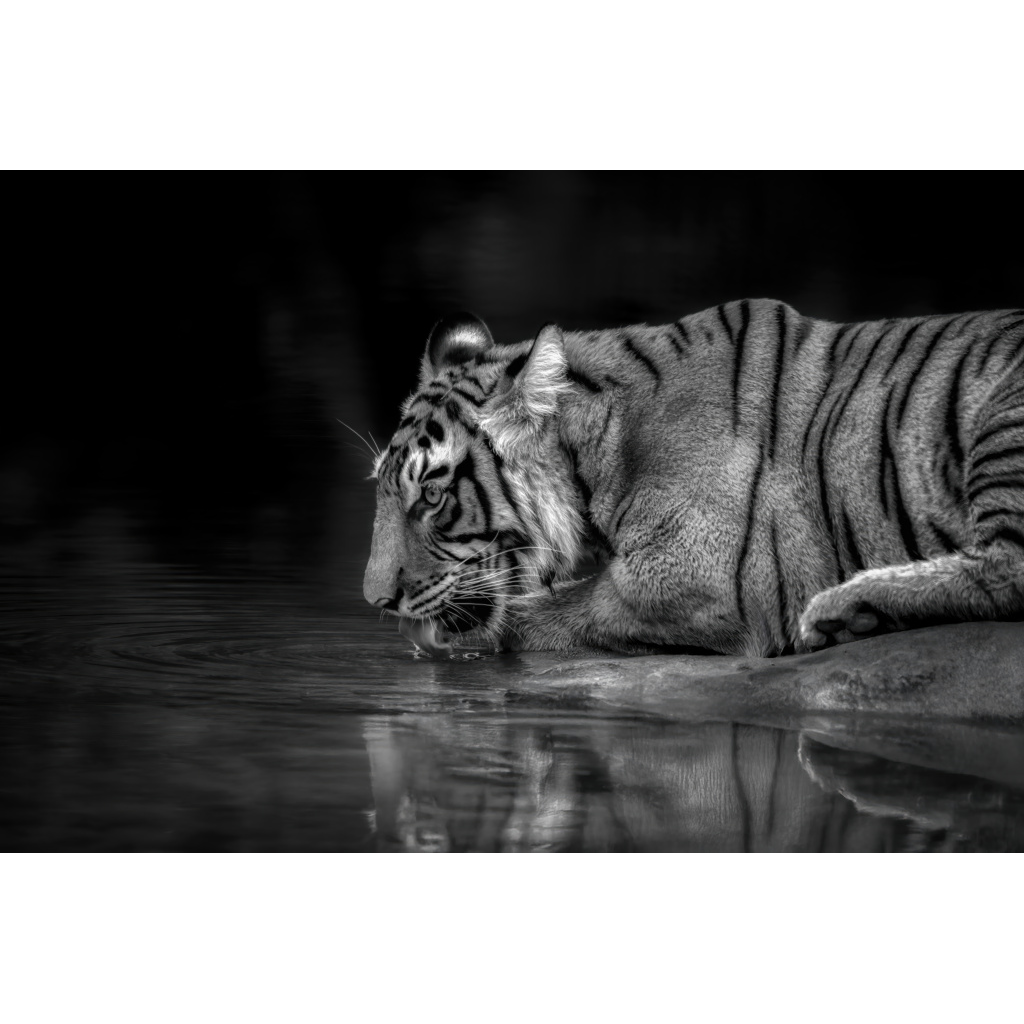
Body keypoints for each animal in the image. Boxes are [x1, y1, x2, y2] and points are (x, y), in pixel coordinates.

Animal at [364, 301, 1024, 657]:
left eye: (432, 494)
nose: (375, 602)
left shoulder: (699, 575)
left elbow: (544, 612)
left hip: (1004, 421)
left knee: (1007, 571)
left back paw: (848, 609)